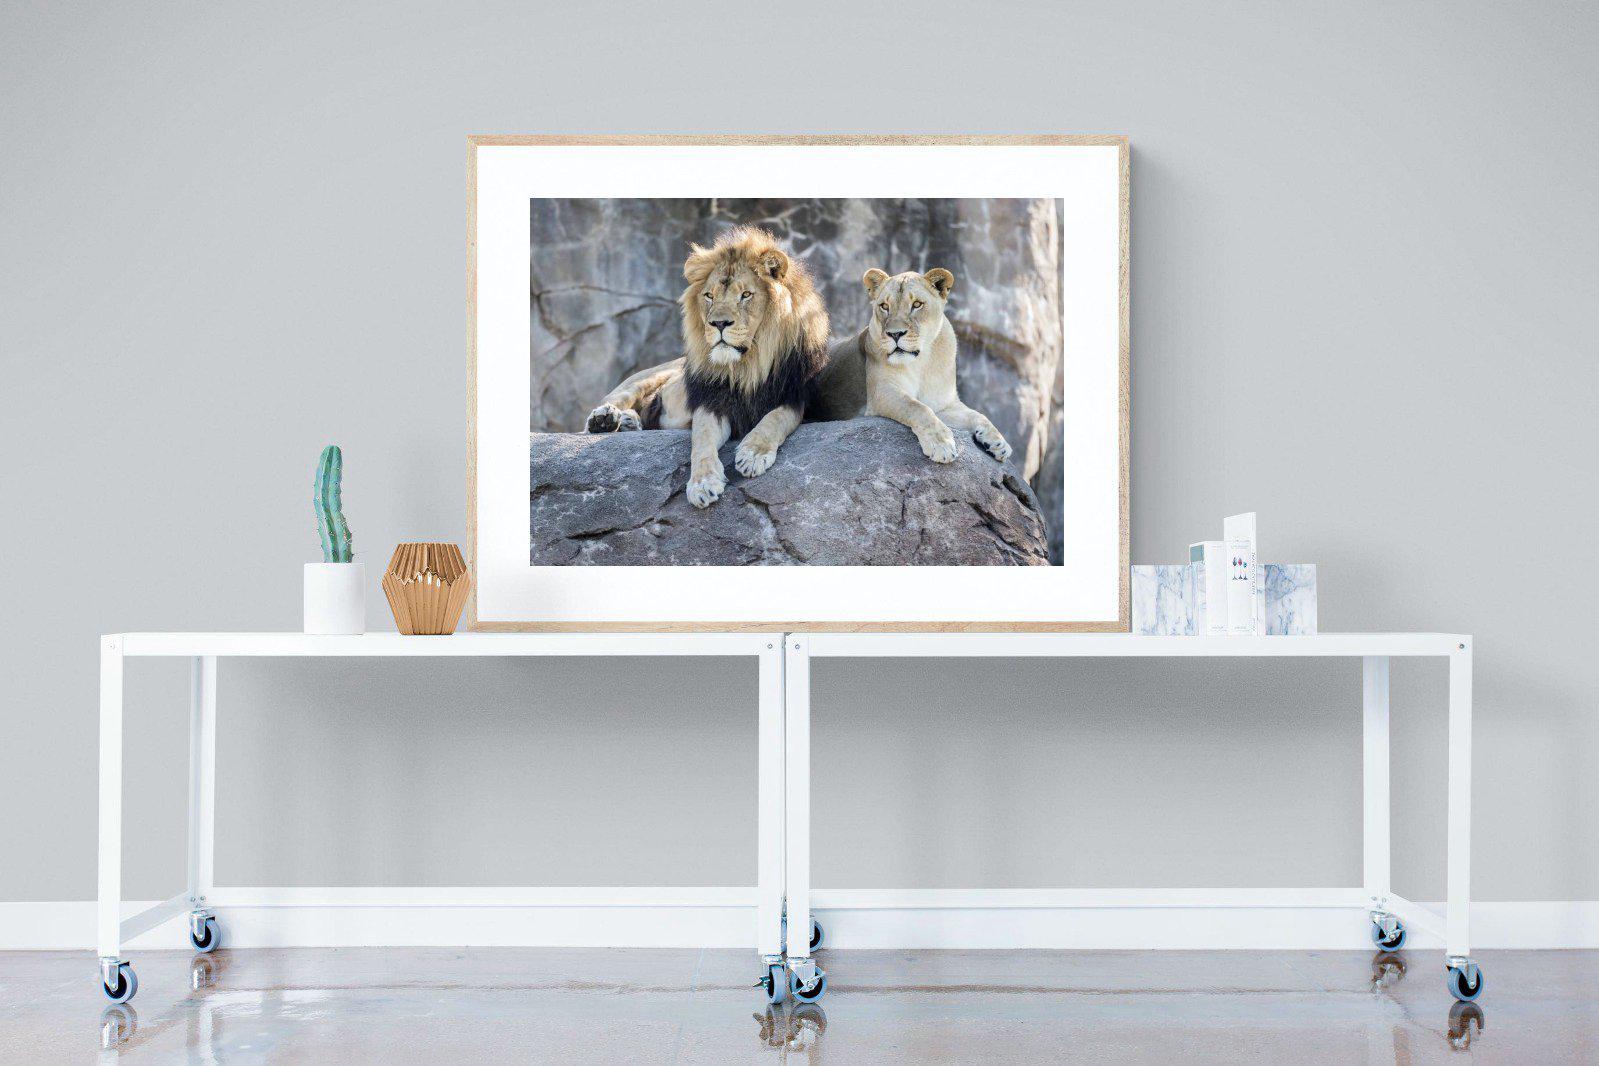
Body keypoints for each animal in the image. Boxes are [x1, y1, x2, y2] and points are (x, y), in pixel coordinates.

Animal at [584, 227, 830, 508]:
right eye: (709, 296)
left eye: (745, 295)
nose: (718, 323)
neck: (747, 366)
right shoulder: (711, 401)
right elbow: (701, 440)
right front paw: (702, 484)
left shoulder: (795, 398)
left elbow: (774, 419)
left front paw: (753, 454)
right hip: (645, 378)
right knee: (613, 402)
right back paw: (605, 419)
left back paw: (628, 422)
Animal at [812, 267, 1012, 464]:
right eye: (884, 306)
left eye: (916, 304)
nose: (895, 334)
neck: (921, 363)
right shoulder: (882, 392)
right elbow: (917, 407)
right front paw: (941, 444)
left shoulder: (944, 404)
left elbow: (978, 415)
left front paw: (998, 443)